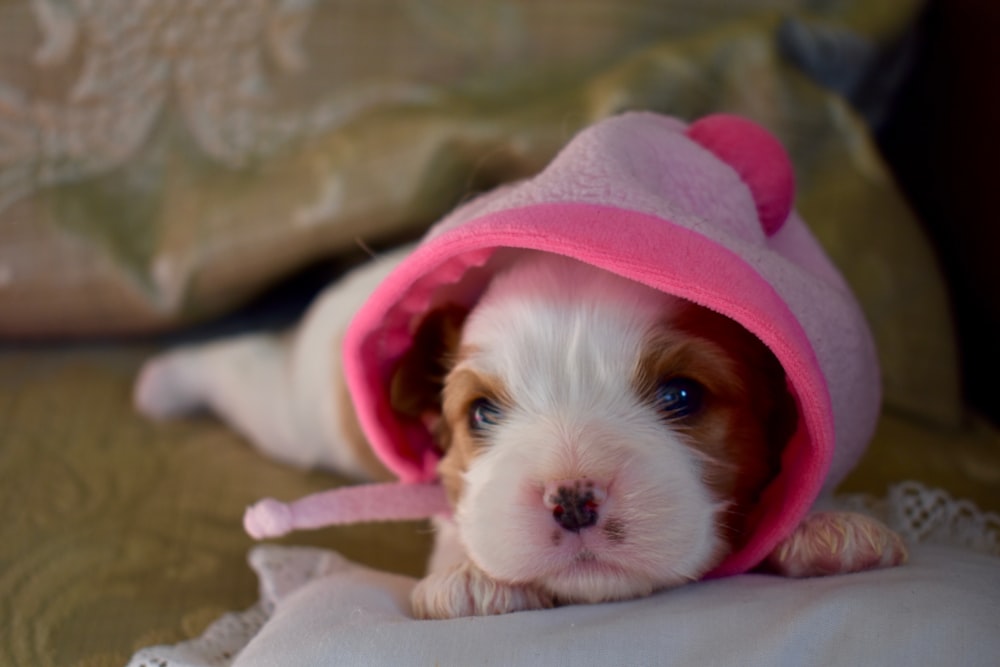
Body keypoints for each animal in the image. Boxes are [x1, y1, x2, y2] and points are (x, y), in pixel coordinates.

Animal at [133, 248, 908, 620]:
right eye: (481, 413)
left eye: (682, 395)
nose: (572, 499)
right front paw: (472, 578)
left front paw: (821, 526)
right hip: (304, 409)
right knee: (242, 371)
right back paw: (164, 379)